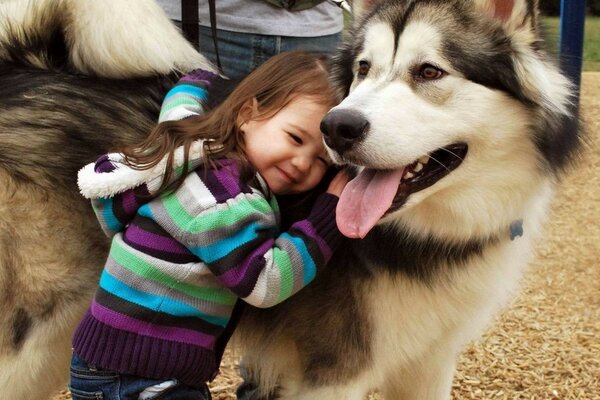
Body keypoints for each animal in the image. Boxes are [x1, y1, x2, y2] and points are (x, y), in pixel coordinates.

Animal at [0, 0, 580, 400]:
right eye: (364, 68)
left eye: (430, 71)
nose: (338, 126)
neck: (427, 233)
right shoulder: (334, 373)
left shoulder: (430, 362)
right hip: (33, 339)